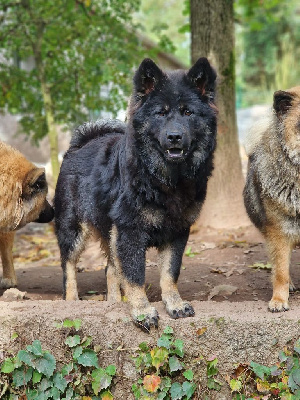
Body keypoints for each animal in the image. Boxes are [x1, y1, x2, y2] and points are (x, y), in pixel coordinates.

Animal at [54, 57, 218, 332]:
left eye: (188, 112)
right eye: (160, 113)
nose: (174, 136)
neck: (164, 180)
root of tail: (79, 145)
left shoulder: (178, 231)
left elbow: (169, 273)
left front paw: (174, 304)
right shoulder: (130, 230)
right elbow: (134, 276)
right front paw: (142, 311)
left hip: (110, 233)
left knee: (110, 270)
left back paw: (112, 302)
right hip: (73, 230)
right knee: (68, 269)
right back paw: (72, 301)